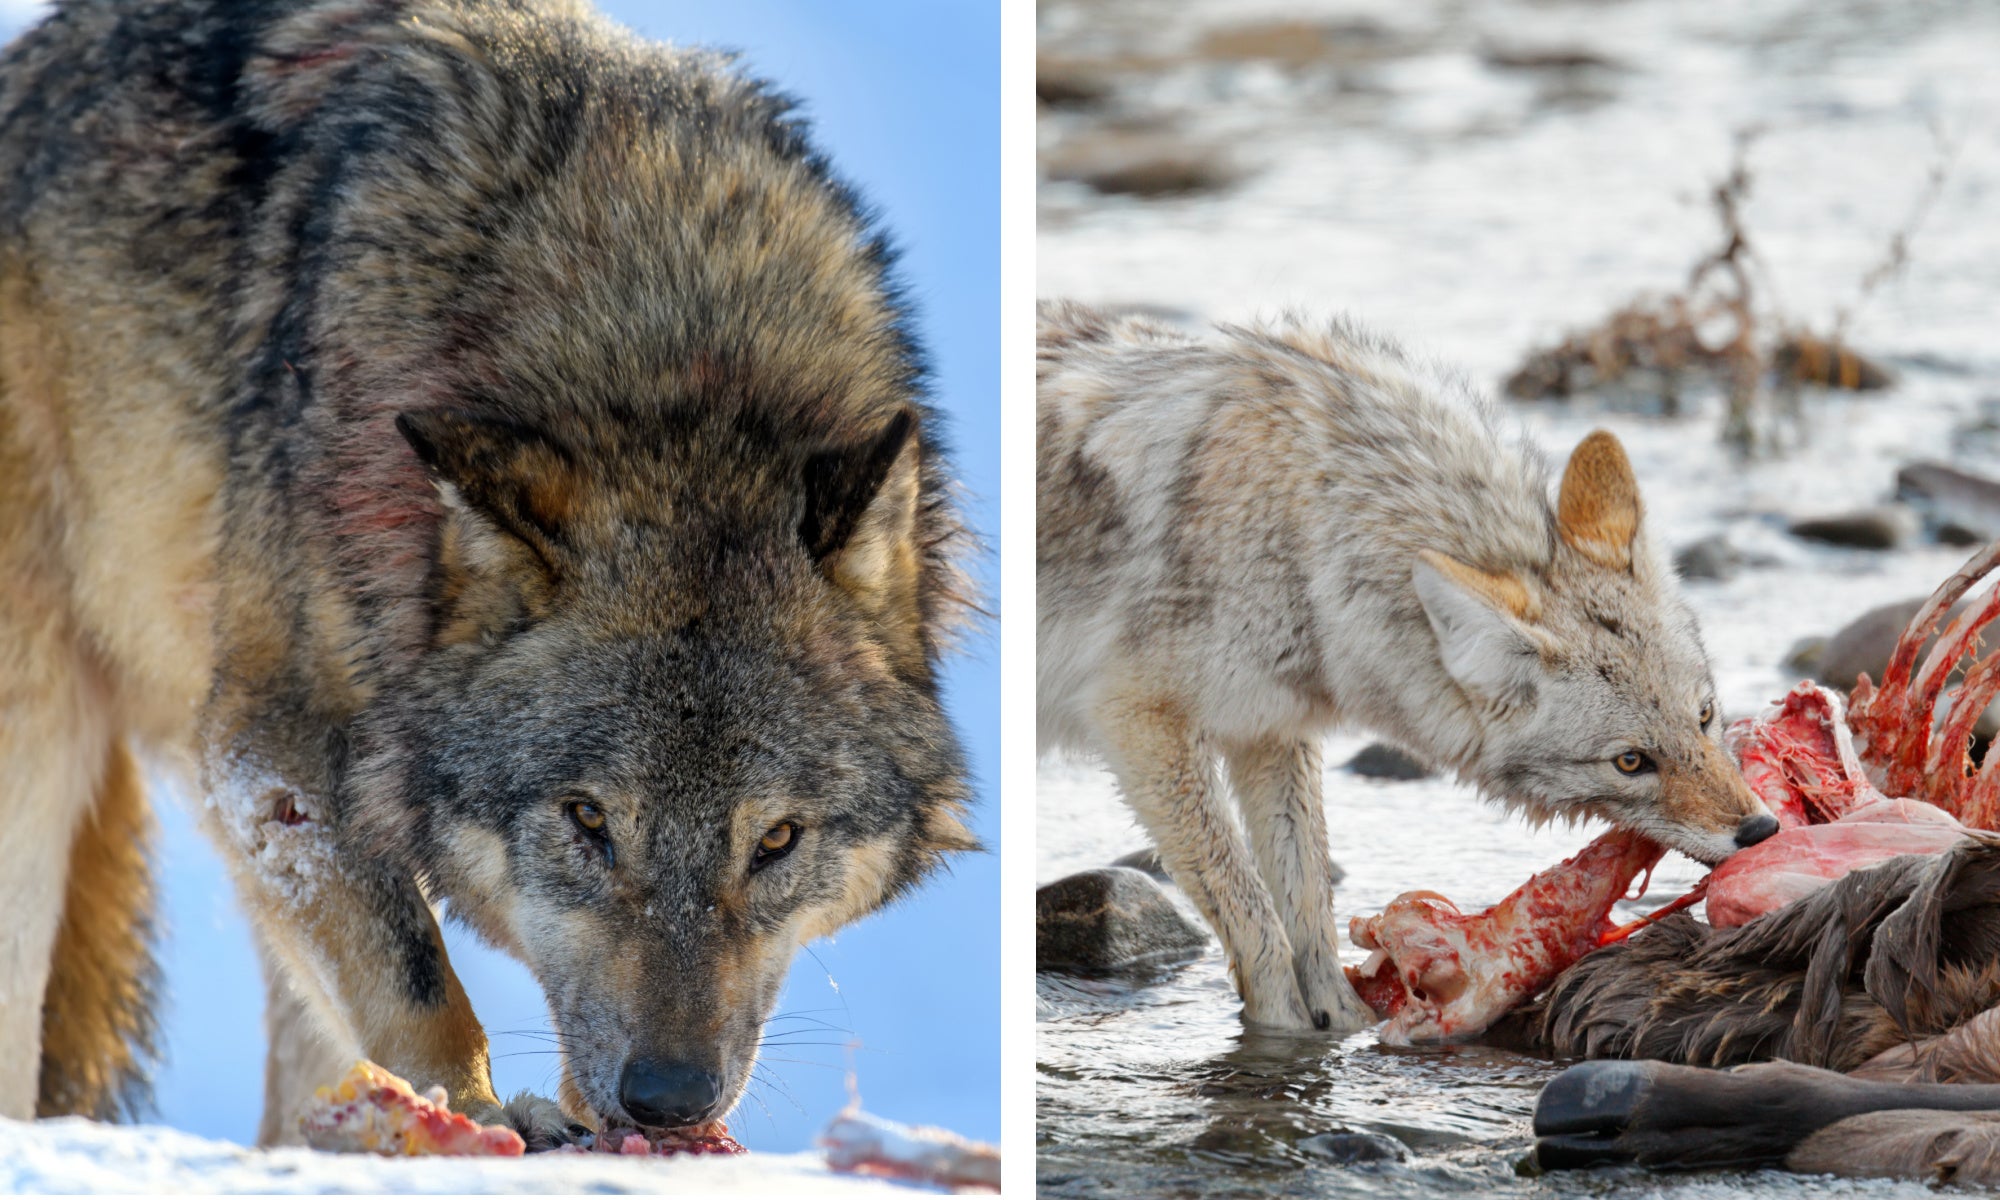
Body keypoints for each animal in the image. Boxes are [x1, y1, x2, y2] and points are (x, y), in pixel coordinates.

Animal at [0, 0, 978, 1143]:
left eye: (775, 840)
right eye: (588, 821)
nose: (668, 1100)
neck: (666, 362)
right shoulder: (271, 755)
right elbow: (418, 979)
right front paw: (471, 1112)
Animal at [1037, 301, 1775, 1034]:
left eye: (1705, 716)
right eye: (1631, 762)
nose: (1760, 831)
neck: (1311, 530)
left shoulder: (1269, 731)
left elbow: (1307, 900)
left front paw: (1340, 1022)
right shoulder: (1142, 723)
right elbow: (1252, 911)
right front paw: (1285, 1030)